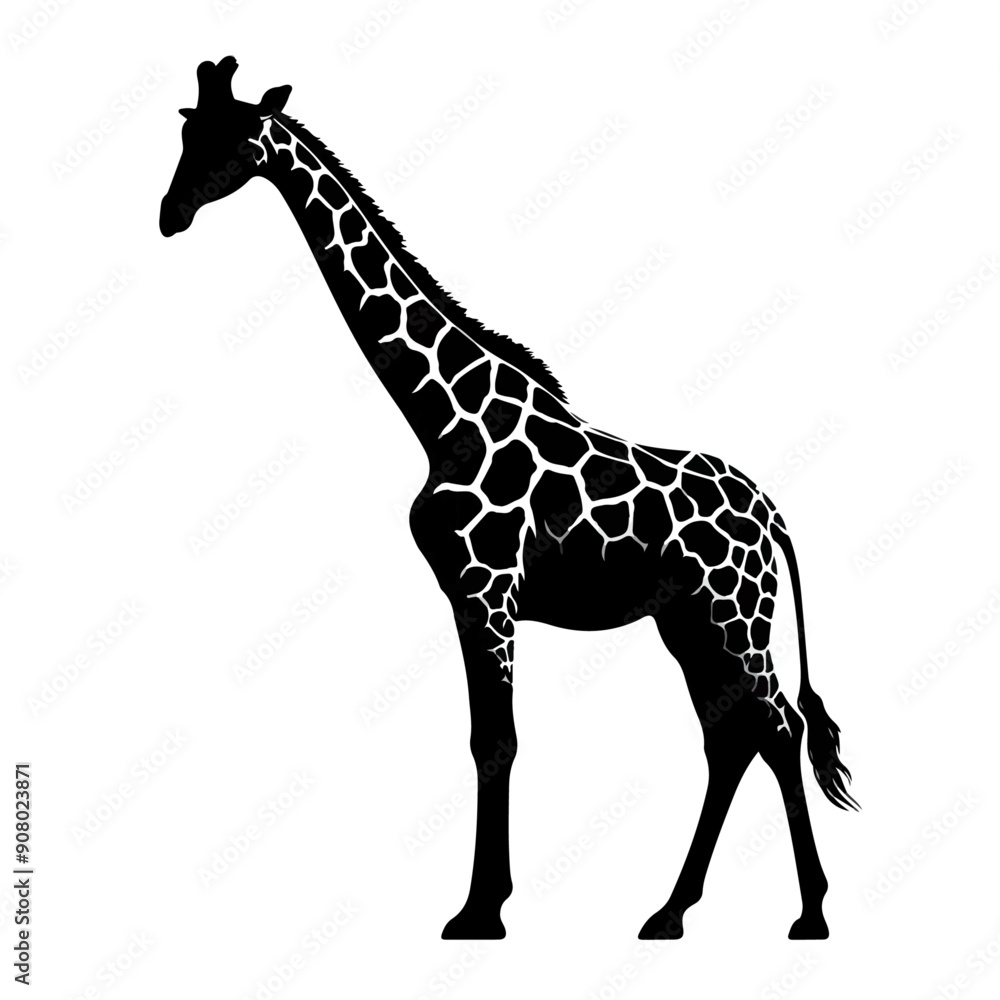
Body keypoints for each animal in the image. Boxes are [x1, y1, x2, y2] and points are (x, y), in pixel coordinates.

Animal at [159, 57, 857, 941]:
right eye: (186, 129)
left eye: (231, 137)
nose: (169, 215)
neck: (442, 415)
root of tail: (776, 516)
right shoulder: (466, 598)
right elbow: (485, 738)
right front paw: (485, 902)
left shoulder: (487, 589)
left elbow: (496, 741)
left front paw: (480, 910)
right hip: (688, 622)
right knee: (730, 737)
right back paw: (670, 912)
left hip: (735, 615)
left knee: (778, 726)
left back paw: (811, 914)